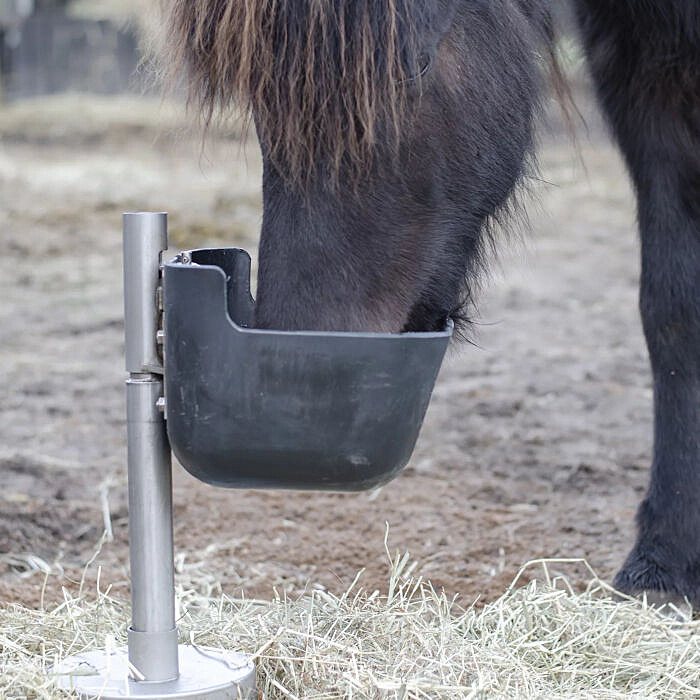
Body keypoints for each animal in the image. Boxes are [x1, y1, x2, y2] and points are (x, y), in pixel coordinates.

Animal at [161, 0, 700, 604]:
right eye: (258, 93)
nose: (302, 349)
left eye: (413, 67)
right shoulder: (643, 80)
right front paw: (666, 559)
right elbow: (674, 307)